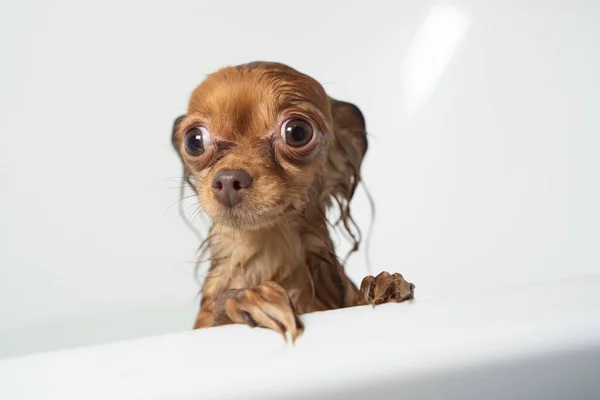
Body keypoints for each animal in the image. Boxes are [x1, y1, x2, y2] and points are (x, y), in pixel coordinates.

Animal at [169, 61, 412, 340]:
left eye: (297, 132)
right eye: (194, 141)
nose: (229, 179)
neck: (267, 254)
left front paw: (380, 284)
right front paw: (245, 298)